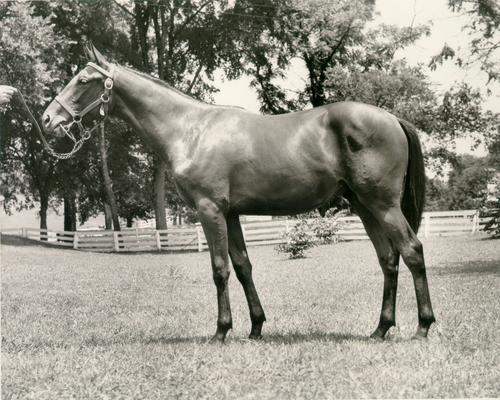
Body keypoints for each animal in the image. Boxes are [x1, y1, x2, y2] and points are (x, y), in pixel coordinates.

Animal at [42, 45, 434, 342]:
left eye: (83, 80)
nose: (47, 120)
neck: (191, 130)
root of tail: (392, 118)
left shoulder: (210, 209)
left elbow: (220, 269)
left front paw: (221, 331)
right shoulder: (230, 213)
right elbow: (244, 266)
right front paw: (256, 328)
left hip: (383, 205)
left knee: (412, 250)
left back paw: (423, 327)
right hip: (365, 206)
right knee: (388, 259)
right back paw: (380, 329)